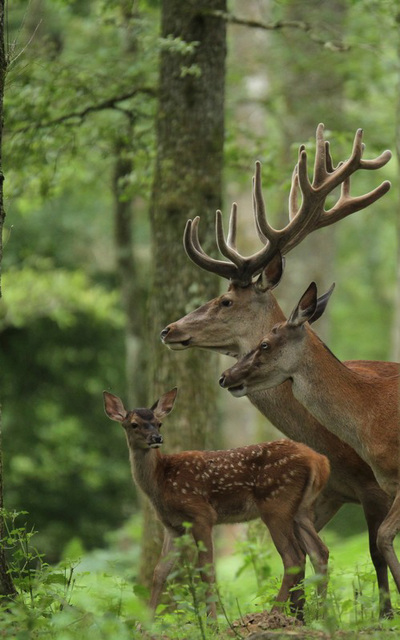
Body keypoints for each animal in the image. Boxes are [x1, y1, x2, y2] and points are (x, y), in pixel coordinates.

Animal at [104, 384, 332, 620]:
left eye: (159, 423)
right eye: (134, 424)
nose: (156, 438)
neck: (160, 480)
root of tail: (320, 460)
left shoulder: (201, 514)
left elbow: (207, 570)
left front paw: (212, 621)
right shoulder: (173, 526)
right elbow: (160, 571)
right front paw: (145, 622)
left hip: (276, 504)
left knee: (294, 557)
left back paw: (275, 613)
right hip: (302, 509)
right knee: (319, 552)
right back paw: (321, 615)